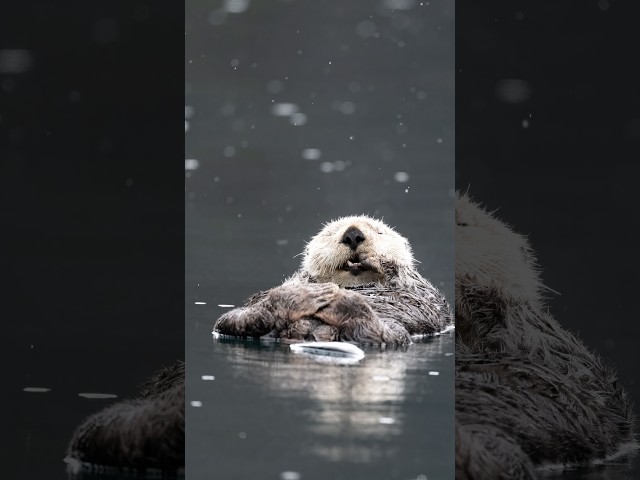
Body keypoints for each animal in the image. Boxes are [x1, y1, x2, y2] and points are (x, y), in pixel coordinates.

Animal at [213, 215, 453, 344]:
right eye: (331, 232)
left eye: (379, 232)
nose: (353, 234)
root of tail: (306, 331)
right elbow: (298, 278)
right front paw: (306, 283)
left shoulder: (420, 287)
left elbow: (405, 276)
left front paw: (377, 260)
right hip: (237, 319)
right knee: (237, 319)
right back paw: (306, 295)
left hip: (393, 333)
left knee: (376, 334)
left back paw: (341, 301)